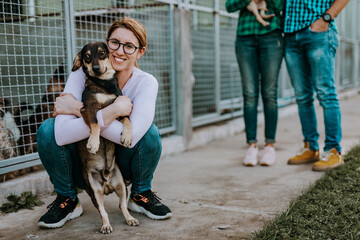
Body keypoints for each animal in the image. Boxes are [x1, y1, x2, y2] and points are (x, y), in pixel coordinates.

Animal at [71, 41, 139, 234]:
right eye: (87, 57)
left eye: (102, 53)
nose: (95, 68)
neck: (104, 84)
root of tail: (107, 182)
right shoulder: (88, 109)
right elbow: (95, 123)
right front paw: (93, 143)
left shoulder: (121, 108)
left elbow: (127, 121)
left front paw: (127, 136)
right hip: (95, 191)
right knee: (103, 212)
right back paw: (106, 226)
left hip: (121, 185)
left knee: (122, 206)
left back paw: (130, 219)